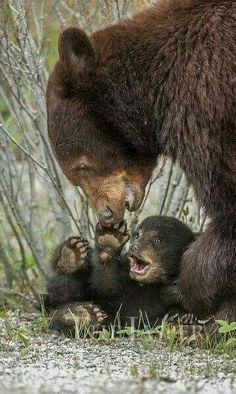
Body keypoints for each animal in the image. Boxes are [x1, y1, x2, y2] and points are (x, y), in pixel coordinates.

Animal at [46, 0, 236, 320]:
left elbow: (226, 203)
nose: (106, 214)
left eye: (81, 167)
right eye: (74, 176)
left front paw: (189, 288)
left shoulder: (207, 104)